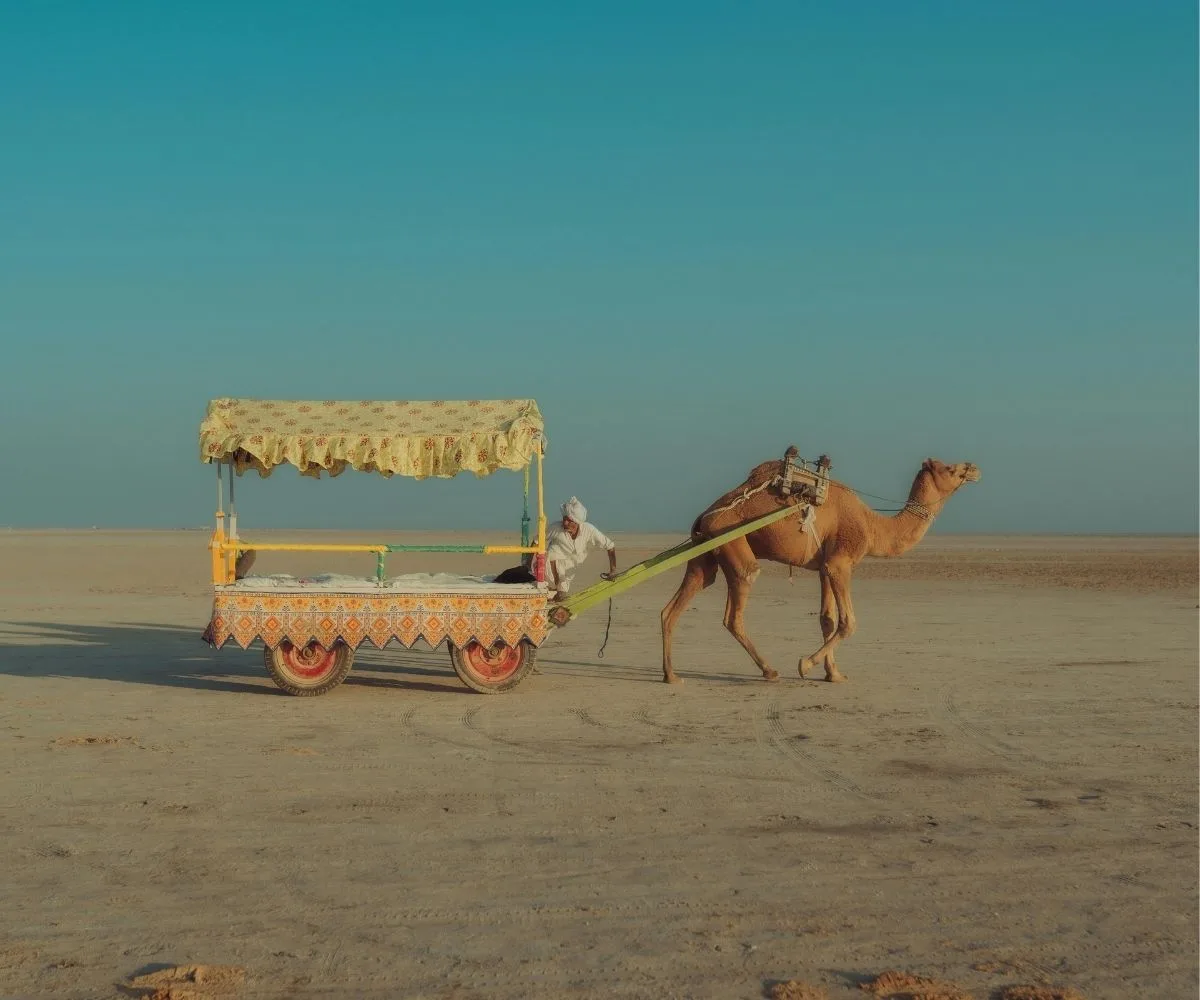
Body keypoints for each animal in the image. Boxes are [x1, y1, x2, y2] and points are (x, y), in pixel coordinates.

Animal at [660, 451, 980, 684]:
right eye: (950, 469)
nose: (974, 468)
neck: (873, 527)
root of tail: (703, 516)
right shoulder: (841, 563)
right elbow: (848, 622)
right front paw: (805, 664)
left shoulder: (825, 566)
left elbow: (827, 618)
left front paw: (833, 674)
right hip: (733, 544)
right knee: (736, 607)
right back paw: (769, 671)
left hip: (705, 555)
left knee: (675, 606)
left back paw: (671, 675)